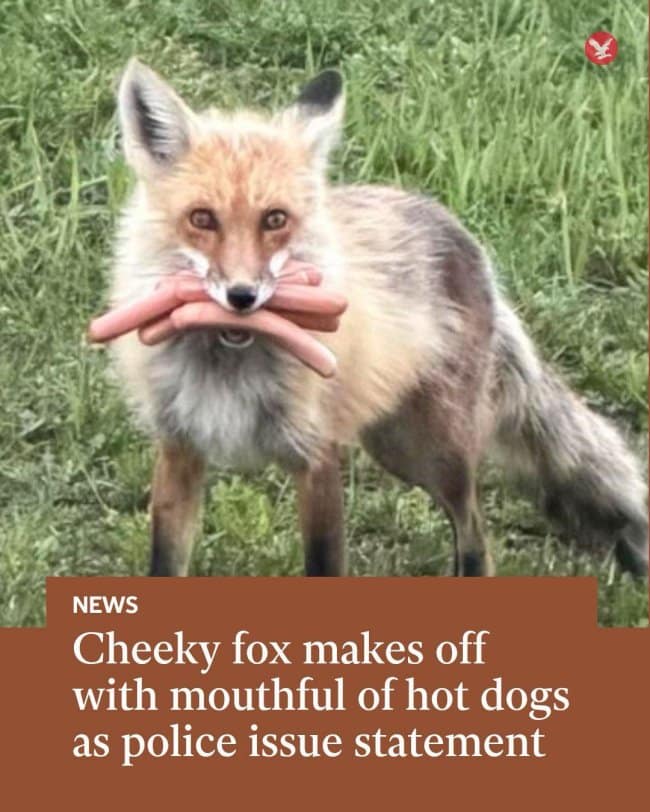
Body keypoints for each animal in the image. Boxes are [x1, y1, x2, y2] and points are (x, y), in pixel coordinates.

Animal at [108, 58, 648, 578]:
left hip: (431, 451)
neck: (227, 363)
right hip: (393, 440)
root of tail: (461, 233)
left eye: (275, 220)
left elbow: (324, 567)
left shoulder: (317, 455)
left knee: (476, 536)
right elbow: (165, 563)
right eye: (202, 219)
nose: (243, 297)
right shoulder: (179, 449)